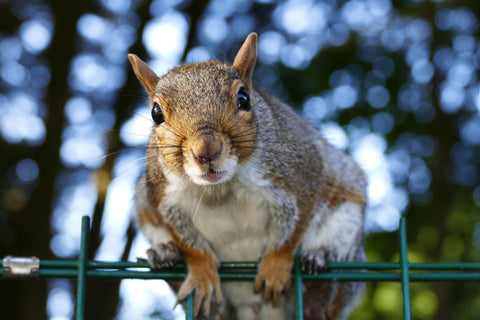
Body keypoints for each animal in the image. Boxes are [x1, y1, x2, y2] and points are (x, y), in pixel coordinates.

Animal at [128, 33, 368, 320]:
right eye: (156, 113)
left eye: (244, 98)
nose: (206, 150)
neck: (221, 189)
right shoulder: (163, 199)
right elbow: (192, 248)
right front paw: (201, 276)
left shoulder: (300, 174)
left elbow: (291, 232)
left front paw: (275, 267)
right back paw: (167, 258)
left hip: (347, 224)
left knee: (326, 303)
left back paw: (316, 282)